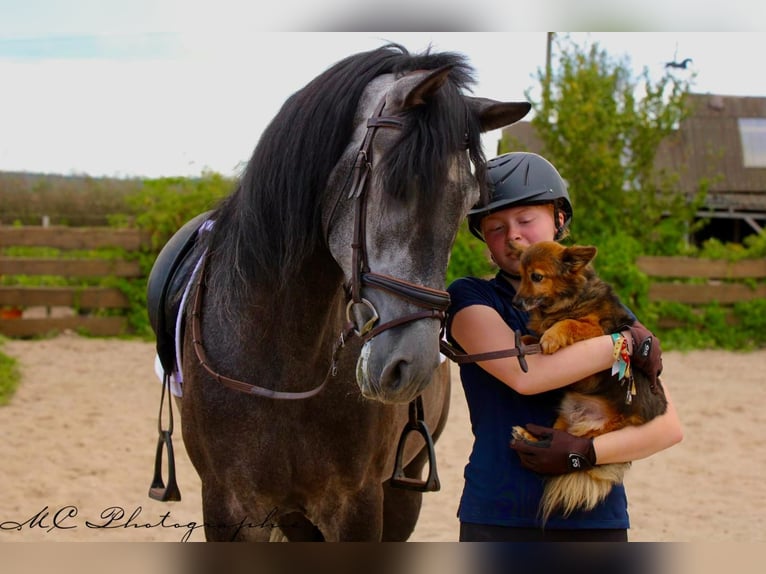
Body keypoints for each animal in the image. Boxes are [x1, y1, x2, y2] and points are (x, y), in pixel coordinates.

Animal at [148, 43, 530, 541]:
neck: (281, 367)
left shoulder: (356, 505)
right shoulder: (229, 506)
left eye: (468, 202)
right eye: (397, 187)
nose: (410, 368)